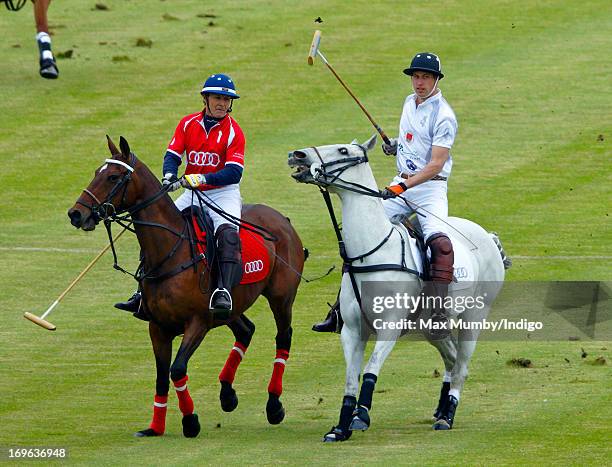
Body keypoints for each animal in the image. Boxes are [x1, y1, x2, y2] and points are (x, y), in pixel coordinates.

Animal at [68, 137, 304, 440]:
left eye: (113, 177)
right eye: (97, 171)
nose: (76, 214)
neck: (170, 252)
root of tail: (282, 219)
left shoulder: (197, 322)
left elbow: (177, 369)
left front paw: (190, 421)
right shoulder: (157, 327)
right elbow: (161, 376)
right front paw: (155, 427)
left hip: (281, 296)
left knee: (283, 338)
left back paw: (274, 406)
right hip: (230, 307)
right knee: (246, 330)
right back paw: (227, 395)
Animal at [290, 135, 510, 442]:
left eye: (343, 150)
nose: (296, 155)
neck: (371, 252)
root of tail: (488, 235)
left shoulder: (390, 326)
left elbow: (371, 368)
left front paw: (361, 416)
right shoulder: (352, 330)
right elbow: (350, 378)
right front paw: (340, 427)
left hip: (474, 316)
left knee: (462, 367)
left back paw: (447, 417)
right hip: (432, 327)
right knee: (451, 359)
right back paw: (441, 409)